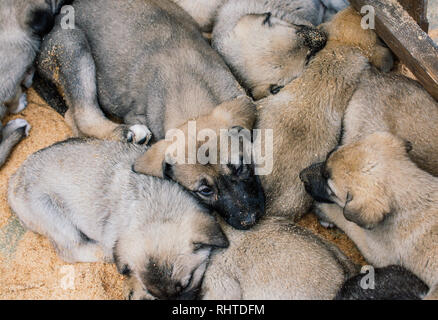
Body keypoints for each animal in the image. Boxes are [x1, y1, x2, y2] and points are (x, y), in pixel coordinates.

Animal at [7, 139, 229, 302]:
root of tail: (14, 177)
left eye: (188, 282)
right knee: (71, 250)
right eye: (154, 295)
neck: (155, 206)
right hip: (53, 216)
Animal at [35, 0, 264, 230]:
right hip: (72, 44)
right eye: (205, 191)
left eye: (240, 168)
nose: (250, 219)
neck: (191, 103)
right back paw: (130, 133)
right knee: (80, 115)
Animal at [302, 132, 438, 300]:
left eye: (331, 190)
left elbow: (346, 220)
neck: (412, 195)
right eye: (328, 155)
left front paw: (324, 210)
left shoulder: (376, 252)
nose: (302, 176)